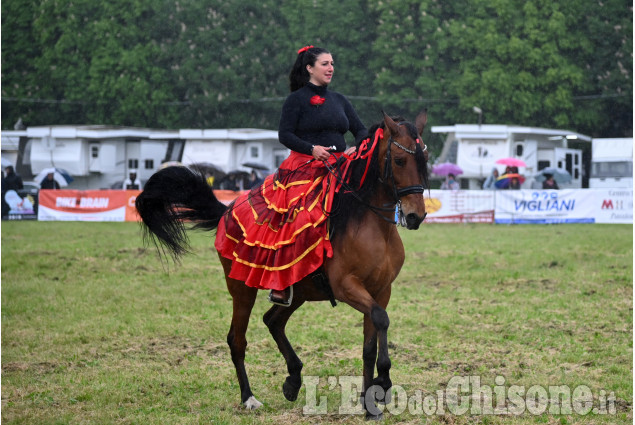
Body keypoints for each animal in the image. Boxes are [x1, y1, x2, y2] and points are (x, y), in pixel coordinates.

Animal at [136, 110, 430, 418]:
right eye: (399, 160)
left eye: (424, 157)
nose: (416, 215)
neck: (369, 224)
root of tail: (227, 210)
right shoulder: (347, 287)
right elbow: (381, 320)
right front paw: (383, 382)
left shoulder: (381, 290)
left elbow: (370, 343)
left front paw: (370, 402)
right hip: (241, 289)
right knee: (237, 339)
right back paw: (249, 397)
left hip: (296, 291)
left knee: (273, 320)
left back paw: (293, 379)